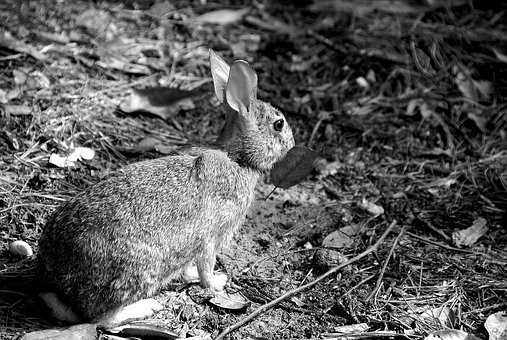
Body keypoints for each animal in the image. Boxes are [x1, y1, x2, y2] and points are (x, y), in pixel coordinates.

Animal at [37, 49, 296, 326]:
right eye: (279, 124)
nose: (292, 142)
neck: (238, 158)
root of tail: (60, 288)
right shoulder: (211, 235)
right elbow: (206, 265)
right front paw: (216, 284)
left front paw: (191, 276)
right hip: (140, 270)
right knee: (102, 319)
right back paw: (146, 307)